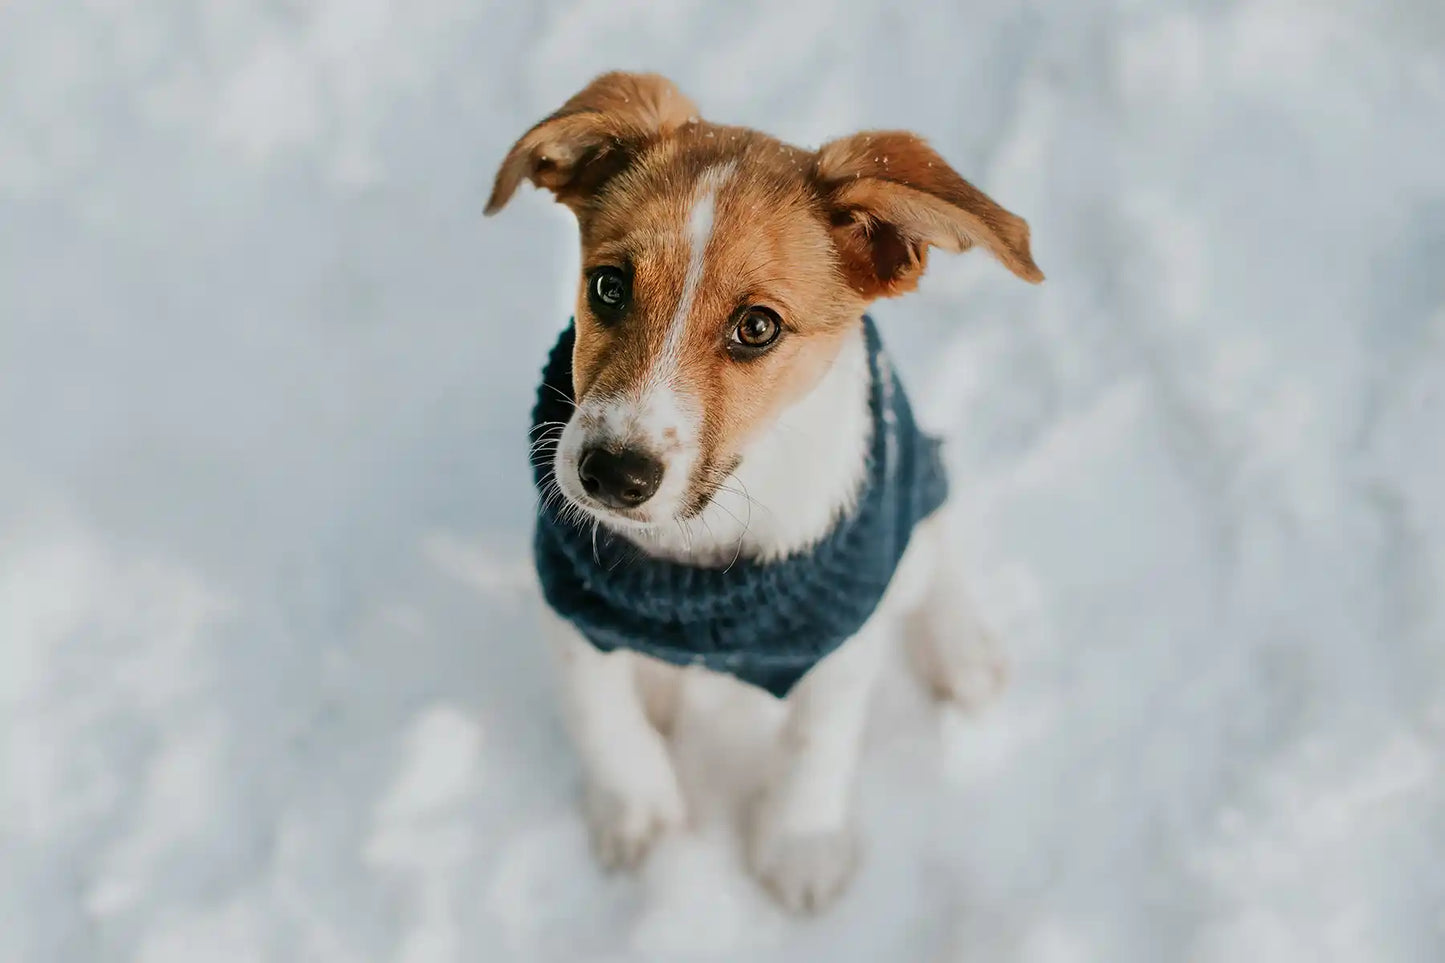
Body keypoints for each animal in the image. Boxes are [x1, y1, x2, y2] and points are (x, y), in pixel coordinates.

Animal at [485, 71, 1040, 913]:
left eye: (757, 327)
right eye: (608, 286)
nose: (612, 475)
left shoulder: (842, 629)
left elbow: (818, 741)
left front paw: (800, 844)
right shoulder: (568, 597)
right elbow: (600, 714)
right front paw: (638, 815)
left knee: (933, 540)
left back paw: (960, 647)